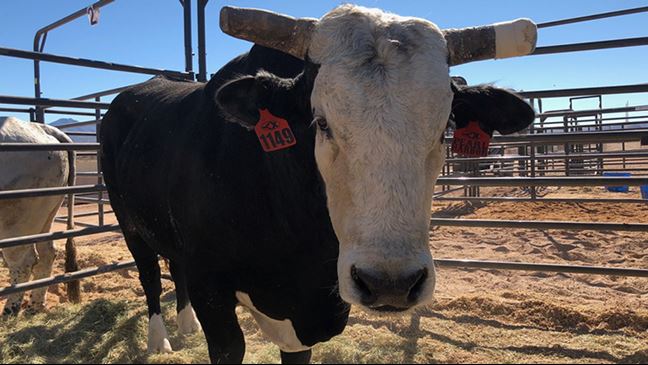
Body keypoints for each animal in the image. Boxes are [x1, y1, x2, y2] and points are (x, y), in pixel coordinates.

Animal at [0, 116, 81, 312]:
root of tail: (43, 128)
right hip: (45, 214)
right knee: (47, 253)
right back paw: (35, 305)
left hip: (15, 220)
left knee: (23, 261)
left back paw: (10, 308)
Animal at [100, 4, 536, 362]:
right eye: (321, 122)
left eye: (444, 127)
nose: (390, 283)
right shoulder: (214, 294)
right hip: (129, 224)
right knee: (150, 276)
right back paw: (159, 339)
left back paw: (185, 324)